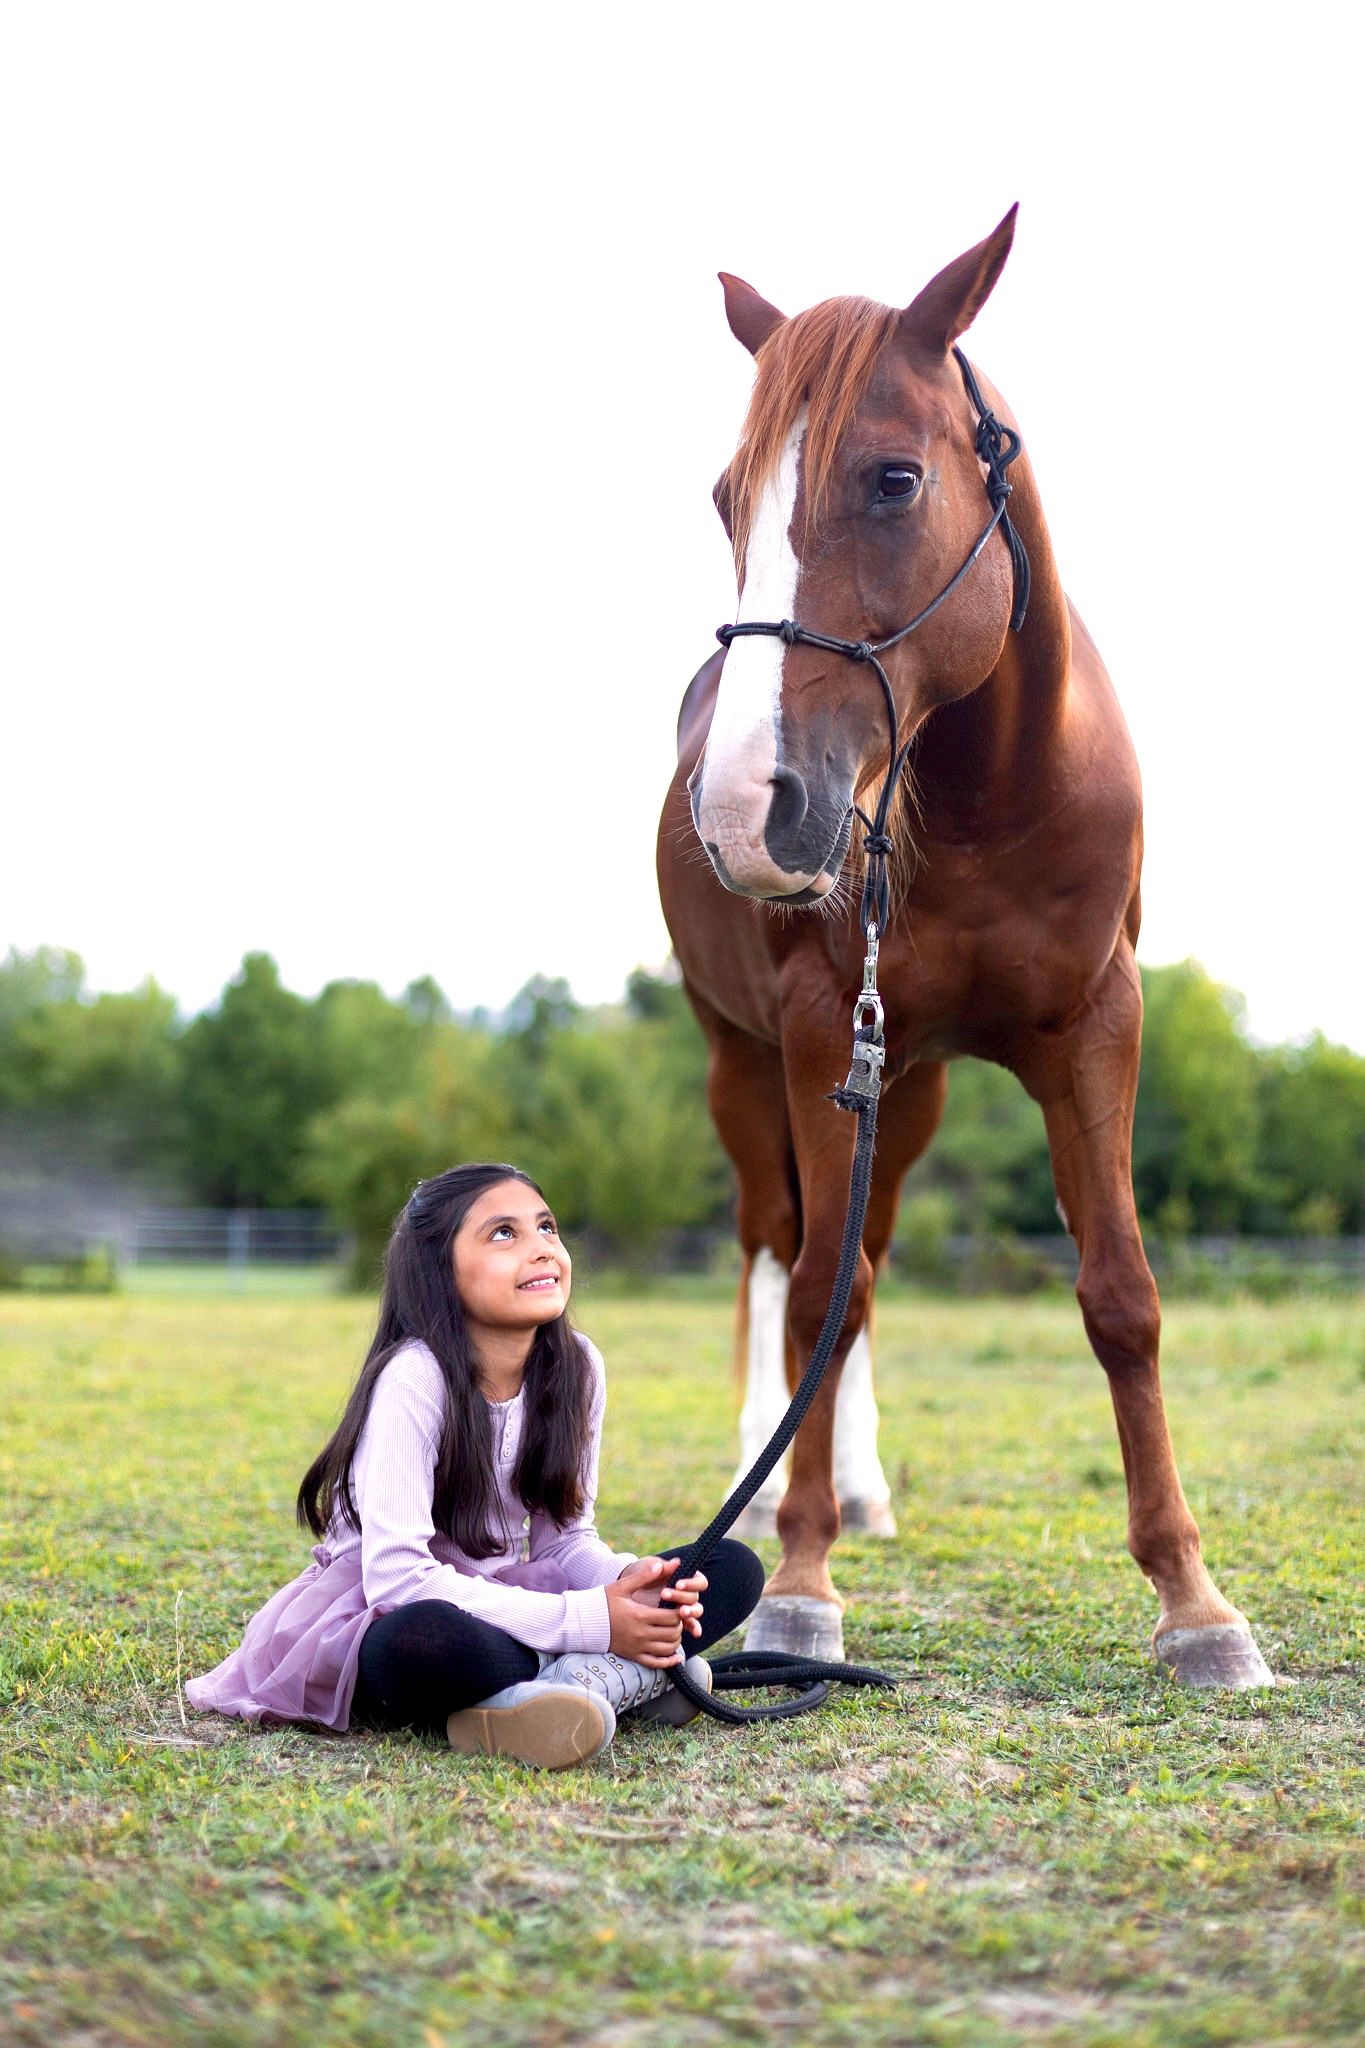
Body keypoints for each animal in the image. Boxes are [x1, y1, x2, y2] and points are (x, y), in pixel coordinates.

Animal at [656, 208, 1274, 1691]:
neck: (999, 798)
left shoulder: (1094, 1030)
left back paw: (857, 1488)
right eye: (725, 499)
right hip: (746, 1069)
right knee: (780, 1255)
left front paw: (1194, 1603)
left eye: (891, 479)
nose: (741, 805)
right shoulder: (820, 1031)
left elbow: (1120, 1295)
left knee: (862, 1267)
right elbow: (813, 1289)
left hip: (914, 1088)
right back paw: (771, 1496)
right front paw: (801, 1587)